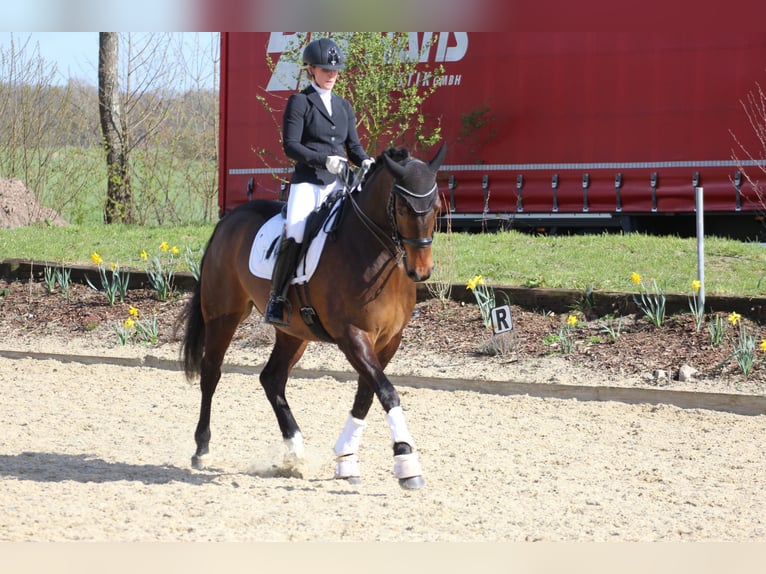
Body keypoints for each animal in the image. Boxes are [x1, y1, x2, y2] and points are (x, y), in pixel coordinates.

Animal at [180, 142, 447, 489]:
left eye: (437, 208)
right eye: (402, 209)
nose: (421, 271)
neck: (372, 253)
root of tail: (229, 220)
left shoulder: (389, 340)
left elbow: (367, 394)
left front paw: (346, 460)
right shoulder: (352, 335)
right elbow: (386, 392)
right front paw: (406, 462)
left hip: (293, 331)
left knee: (272, 379)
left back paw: (296, 453)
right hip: (223, 315)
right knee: (211, 372)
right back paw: (202, 449)